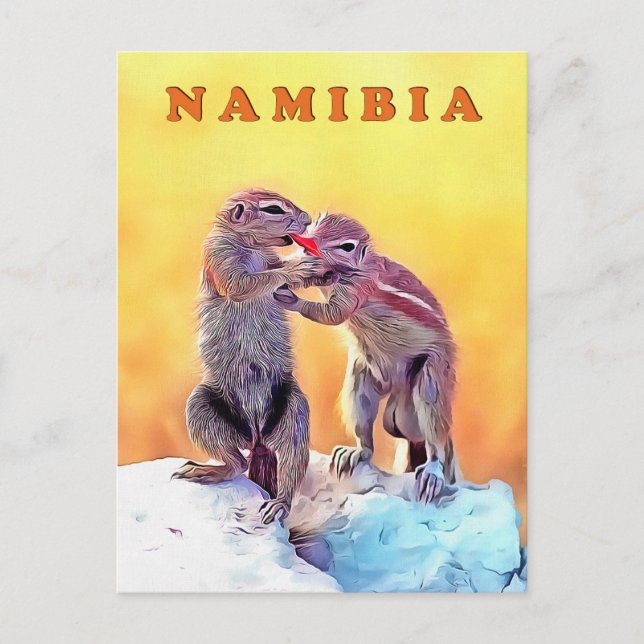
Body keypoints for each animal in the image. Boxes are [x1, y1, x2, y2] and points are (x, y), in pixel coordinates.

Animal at [172, 189, 329, 524]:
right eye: (273, 209)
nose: (308, 219)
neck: (250, 247)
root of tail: (257, 438)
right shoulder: (217, 255)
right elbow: (242, 283)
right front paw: (299, 265)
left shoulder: (268, 259)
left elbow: (278, 278)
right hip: (202, 410)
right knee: (237, 463)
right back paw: (205, 471)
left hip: (293, 411)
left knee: (290, 463)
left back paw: (279, 503)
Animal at [273, 212, 461, 504]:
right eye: (315, 224)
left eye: (346, 246)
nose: (306, 244)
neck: (347, 270)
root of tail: (399, 390)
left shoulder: (358, 288)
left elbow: (333, 314)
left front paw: (290, 299)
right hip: (360, 379)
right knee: (365, 431)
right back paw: (355, 452)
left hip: (433, 374)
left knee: (435, 434)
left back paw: (432, 471)